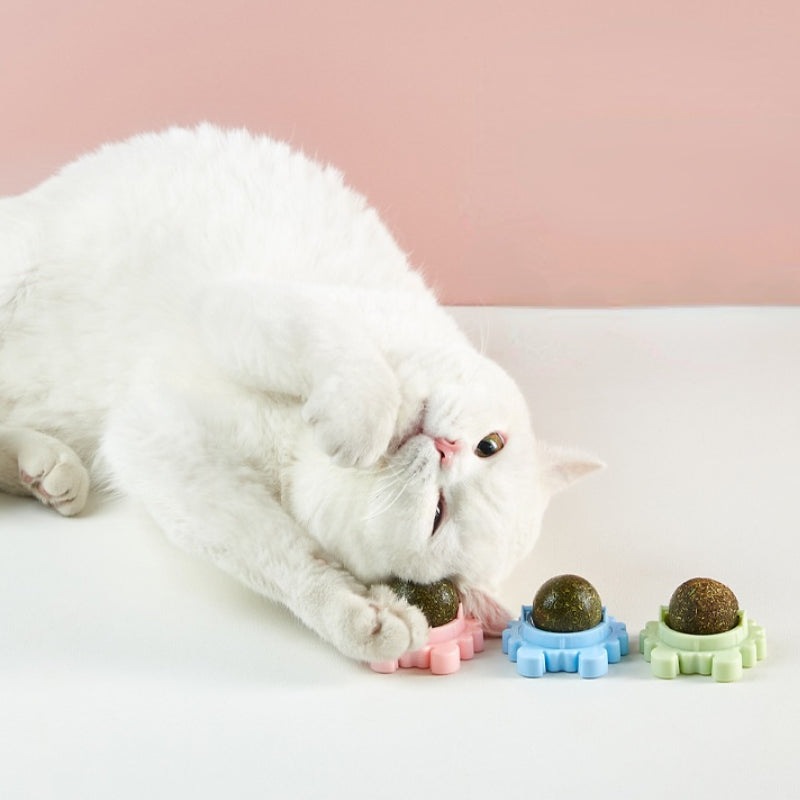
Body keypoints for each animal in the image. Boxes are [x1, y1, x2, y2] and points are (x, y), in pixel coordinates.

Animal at [1, 125, 600, 664]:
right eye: (490, 444)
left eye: (437, 513)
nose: (445, 447)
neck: (297, 445)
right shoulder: (240, 307)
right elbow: (346, 357)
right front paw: (362, 422)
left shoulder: (161, 454)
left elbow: (278, 554)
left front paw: (358, 616)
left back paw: (46, 471)